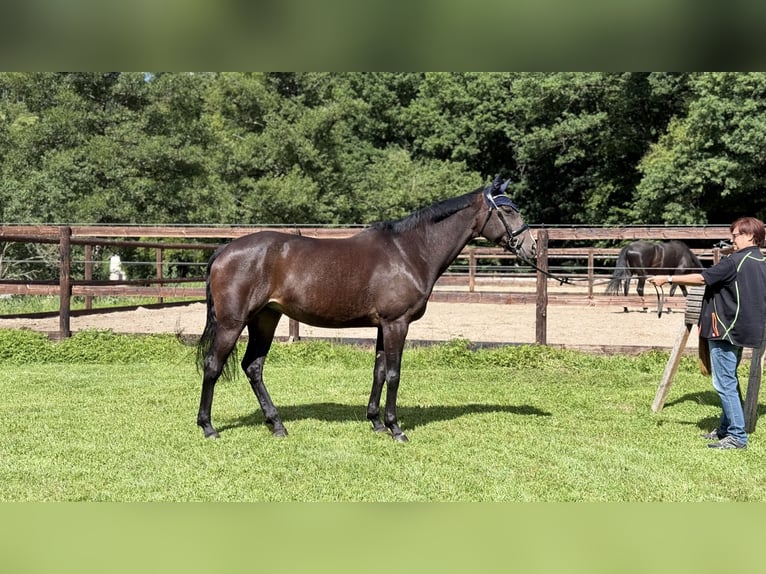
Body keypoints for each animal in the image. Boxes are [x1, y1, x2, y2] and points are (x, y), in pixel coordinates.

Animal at [195, 177, 537, 442]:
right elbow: (395, 374)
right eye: (508, 209)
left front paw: (375, 422)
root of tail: (224, 250)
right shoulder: (397, 324)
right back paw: (208, 427)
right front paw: (396, 428)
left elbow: (379, 370)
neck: (409, 252)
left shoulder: (383, 326)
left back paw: (277, 425)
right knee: (213, 366)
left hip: (265, 319)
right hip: (232, 323)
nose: (531, 247)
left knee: (253, 367)